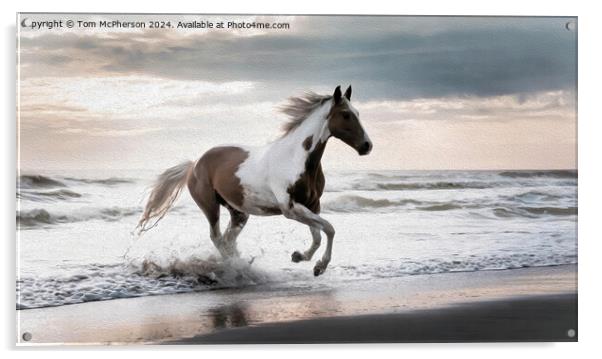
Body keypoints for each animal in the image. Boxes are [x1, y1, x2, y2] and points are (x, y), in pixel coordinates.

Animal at [137, 86, 370, 278]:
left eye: (358, 113)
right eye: (346, 115)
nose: (367, 146)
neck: (296, 158)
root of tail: (194, 164)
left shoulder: (312, 205)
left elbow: (318, 235)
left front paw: (301, 257)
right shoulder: (290, 209)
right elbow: (329, 229)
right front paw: (319, 266)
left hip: (239, 212)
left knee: (228, 240)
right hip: (211, 207)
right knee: (217, 238)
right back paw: (235, 268)